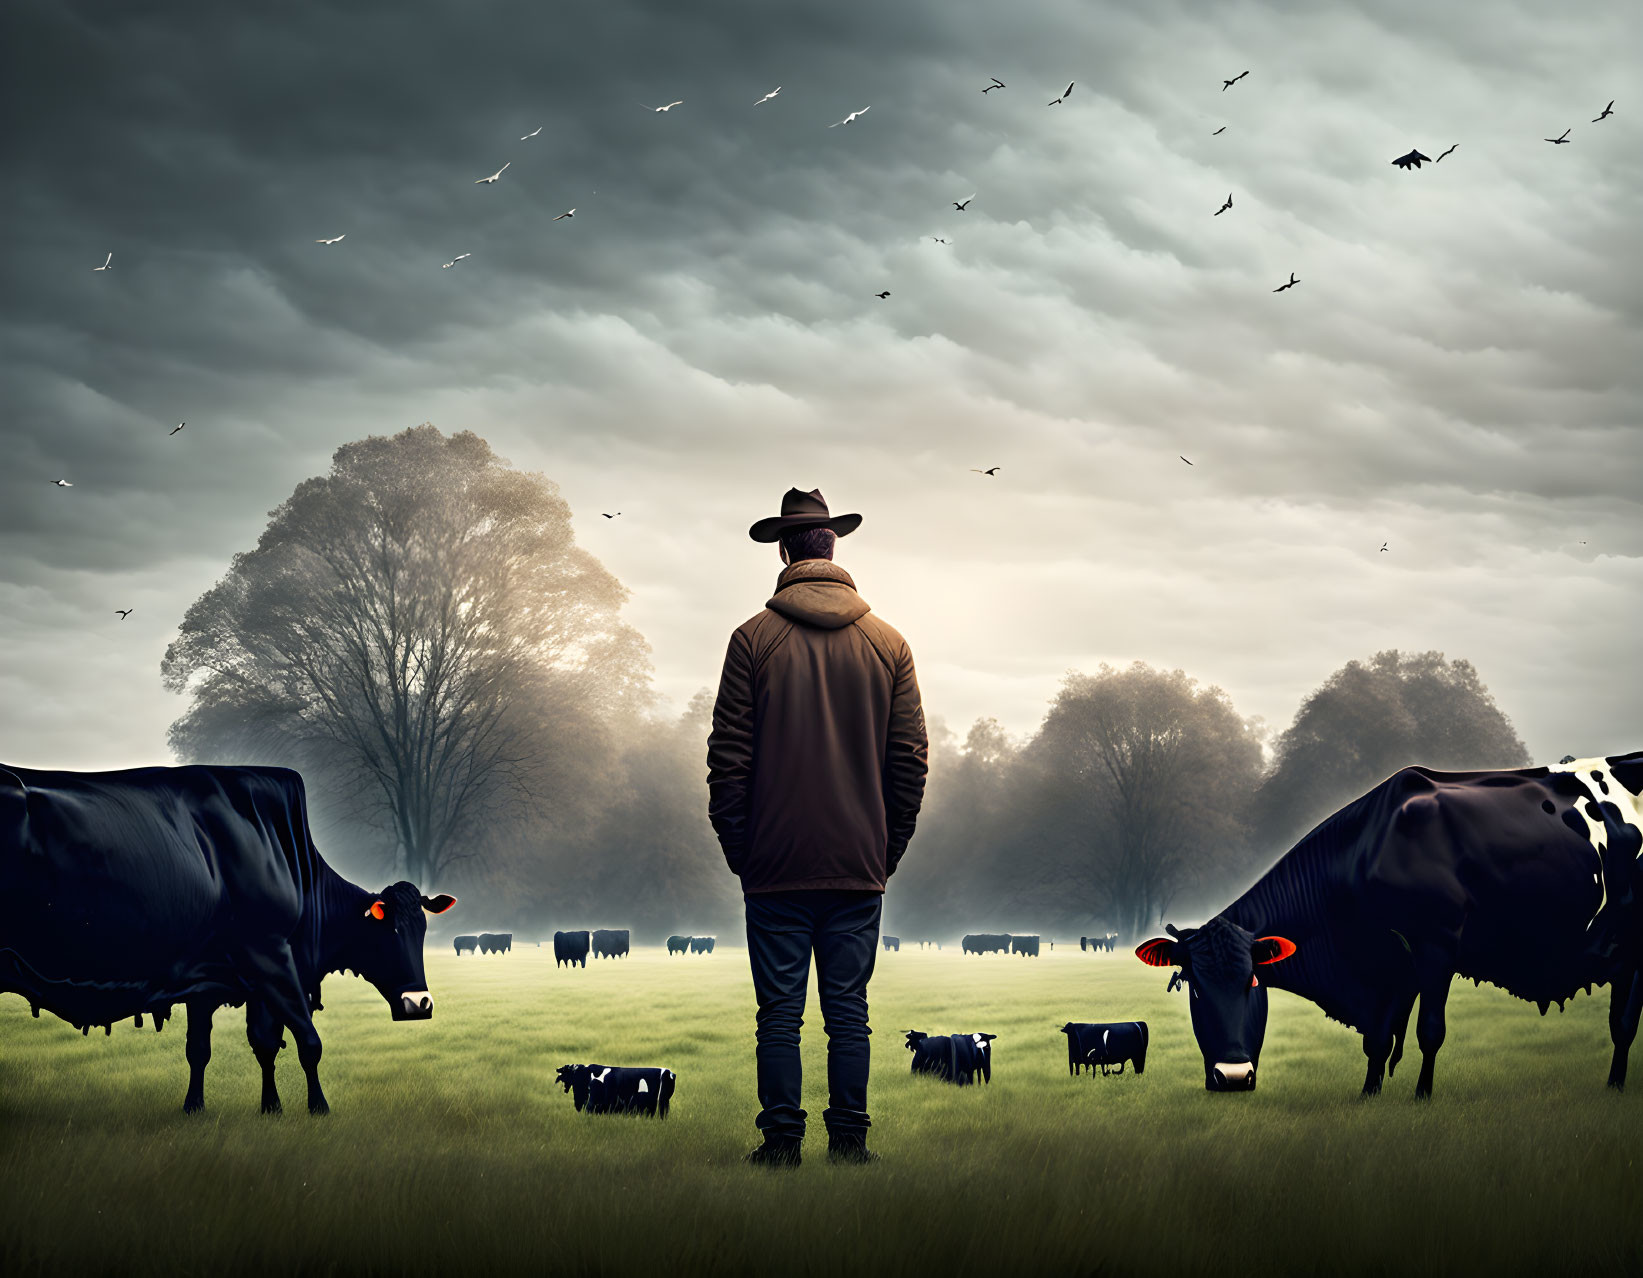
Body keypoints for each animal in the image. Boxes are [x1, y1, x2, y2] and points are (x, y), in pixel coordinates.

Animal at [1, 762, 456, 1110]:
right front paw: (319, 1108)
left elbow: (225, 1047)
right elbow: (308, 1042)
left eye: (422, 931)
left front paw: (242, 1108)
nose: (421, 1004)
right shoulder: (271, 957)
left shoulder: (207, 977)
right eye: (390, 931)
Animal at [1136, 745, 1643, 1097]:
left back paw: (1616, 1087)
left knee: (1623, 1023)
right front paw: (1368, 1094)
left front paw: (1421, 1096)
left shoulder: (1434, 945)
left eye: (1252, 982)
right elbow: (1378, 1040)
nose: (1233, 1077)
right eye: (1196, 989)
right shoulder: (1388, 964)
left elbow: (1429, 1031)